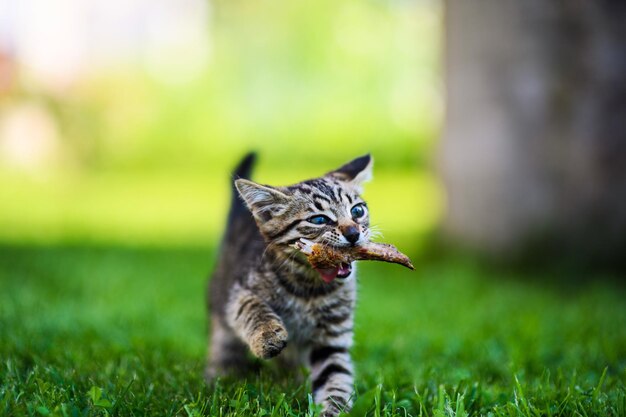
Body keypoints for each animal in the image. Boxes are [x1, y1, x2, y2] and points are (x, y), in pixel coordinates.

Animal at [207, 153, 372, 416]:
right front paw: (267, 336)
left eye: (357, 211)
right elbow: (251, 307)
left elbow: (335, 376)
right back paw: (219, 378)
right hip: (221, 304)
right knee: (223, 347)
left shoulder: (332, 338)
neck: (310, 287)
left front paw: (333, 409)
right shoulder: (238, 291)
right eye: (318, 219)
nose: (354, 233)